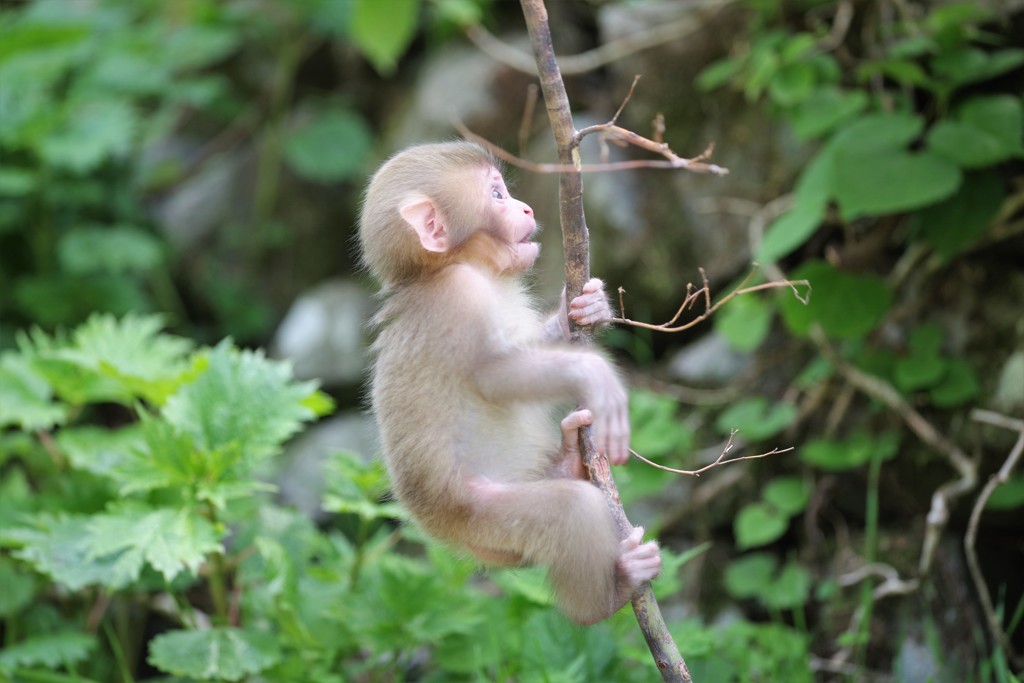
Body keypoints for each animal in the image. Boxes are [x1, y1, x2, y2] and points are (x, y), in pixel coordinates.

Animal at [360, 140, 663, 626]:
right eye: (496, 195)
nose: (525, 207)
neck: (462, 266)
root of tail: (440, 532)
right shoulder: (456, 299)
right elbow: (494, 377)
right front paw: (593, 374)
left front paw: (587, 309)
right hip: (481, 514)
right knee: (570, 511)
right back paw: (612, 593)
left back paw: (569, 463)